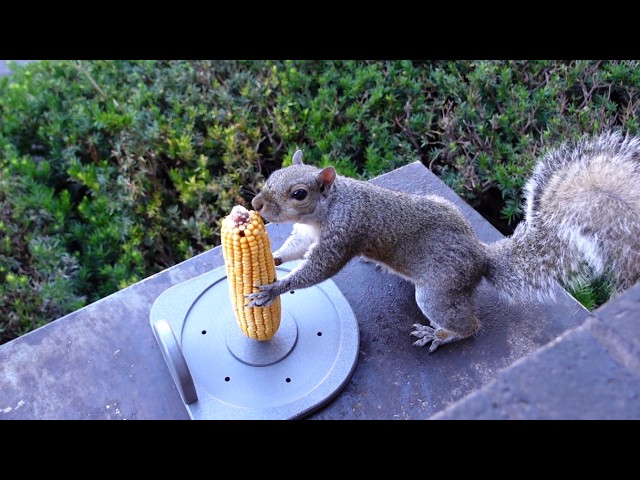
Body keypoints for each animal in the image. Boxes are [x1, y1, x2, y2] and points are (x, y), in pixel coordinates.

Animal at [247, 130, 640, 352]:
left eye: (299, 193)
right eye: (273, 174)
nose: (256, 204)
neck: (326, 209)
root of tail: (480, 257)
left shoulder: (345, 233)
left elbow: (318, 269)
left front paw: (272, 288)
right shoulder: (306, 234)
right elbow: (295, 248)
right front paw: (274, 259)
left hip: (438, 290)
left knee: (469, 326)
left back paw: (440, 335)